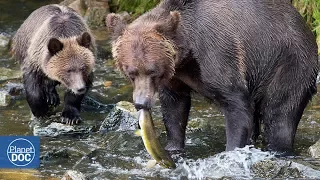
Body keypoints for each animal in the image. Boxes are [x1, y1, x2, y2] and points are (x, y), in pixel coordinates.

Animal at [106, 0, 318, 155]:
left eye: (152, 71)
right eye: (131, 72)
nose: (141, 103)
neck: (187, 55)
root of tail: (305, 26)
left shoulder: (217, 54)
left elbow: (237, 105)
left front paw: (231, 151)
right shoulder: (175, 77)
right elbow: (175, 108)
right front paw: (173, 148)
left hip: (286, 63)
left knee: (280, 113)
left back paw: (279, 148)